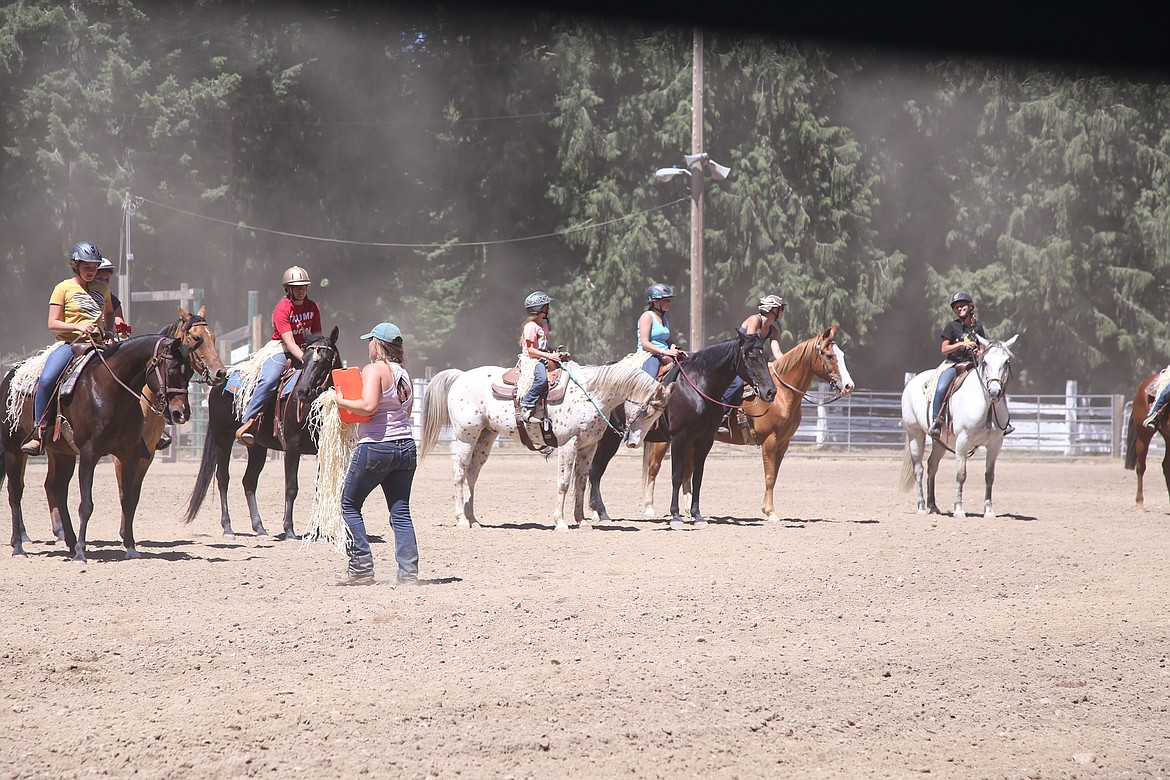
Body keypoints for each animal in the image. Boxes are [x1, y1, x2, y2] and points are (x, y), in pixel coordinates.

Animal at [2, 336, 194, 561]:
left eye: (190, 373)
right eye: (171, 371)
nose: (181, 413)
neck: (109, 390)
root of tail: (10, 376)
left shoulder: (130, 454)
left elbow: (128, 499)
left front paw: (130, 548)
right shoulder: (89, 453)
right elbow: (86, 505)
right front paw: (80, 554)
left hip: (62, 453)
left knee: (57, 488)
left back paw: (69, 541)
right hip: (13, 448)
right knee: (15, 492)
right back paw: (19, 546)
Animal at [181, 327, 339, 540]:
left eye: (324, 360)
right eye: (304, 360)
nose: (302, 391)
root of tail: (219, 381)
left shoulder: (323, 449)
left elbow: (320, 488)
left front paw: (318, 531)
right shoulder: (292, 447)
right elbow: (291, 487)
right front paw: (289, 530)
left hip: (257, 447)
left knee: (249, 481)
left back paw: (260, 528)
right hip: (223, 439)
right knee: (223, 478)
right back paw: (228, 527)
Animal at [421, 353, 673, 530]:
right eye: (647, 411)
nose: (634, 443)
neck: (591, 393)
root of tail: (460, 376)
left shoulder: (588, 446)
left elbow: (581, 482)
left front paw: (582, 521)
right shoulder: (568, 442)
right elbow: (564, 482)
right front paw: (560, 522)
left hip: (485, 437)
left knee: (472, 475)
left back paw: (473, 519)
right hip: (466, 436)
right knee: (459, 474)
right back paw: (462, 520)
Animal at [898, 336, 1020, 519]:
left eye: (1006, 362)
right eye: (985, 362)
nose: (994, 391)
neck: (987, 406)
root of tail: (912, 381)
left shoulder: (995, 444)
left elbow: (989, 476)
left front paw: (989, 511)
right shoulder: (963, 441)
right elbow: (961, 474)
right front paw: (959, 509)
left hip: (939, 440)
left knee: (932, 466)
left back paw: (933, 506)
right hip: (915, 433)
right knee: (918, 469)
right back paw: (921, 506)